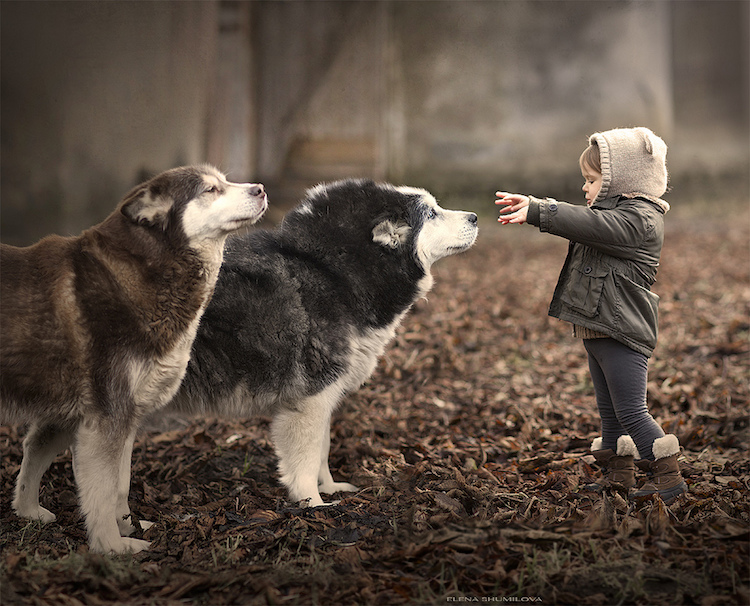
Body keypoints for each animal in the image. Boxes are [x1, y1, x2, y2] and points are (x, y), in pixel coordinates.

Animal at [0, 166, 268, 556]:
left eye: (224, 180)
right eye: (210, 189)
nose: (261, 189)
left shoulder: (125, 417)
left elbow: (120, 486)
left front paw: (129, 527)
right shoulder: (108, 419)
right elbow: (102, 493)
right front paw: (112, 546)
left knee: (32, 447)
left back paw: (28, 510)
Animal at [168, 179, 478, 508]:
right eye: (431, 214)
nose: (474, 217)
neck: (332, 272)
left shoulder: (326, 395)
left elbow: (323, 450)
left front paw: (329, 487)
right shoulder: (311, 399)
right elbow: (306, 458)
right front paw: (313, 504)